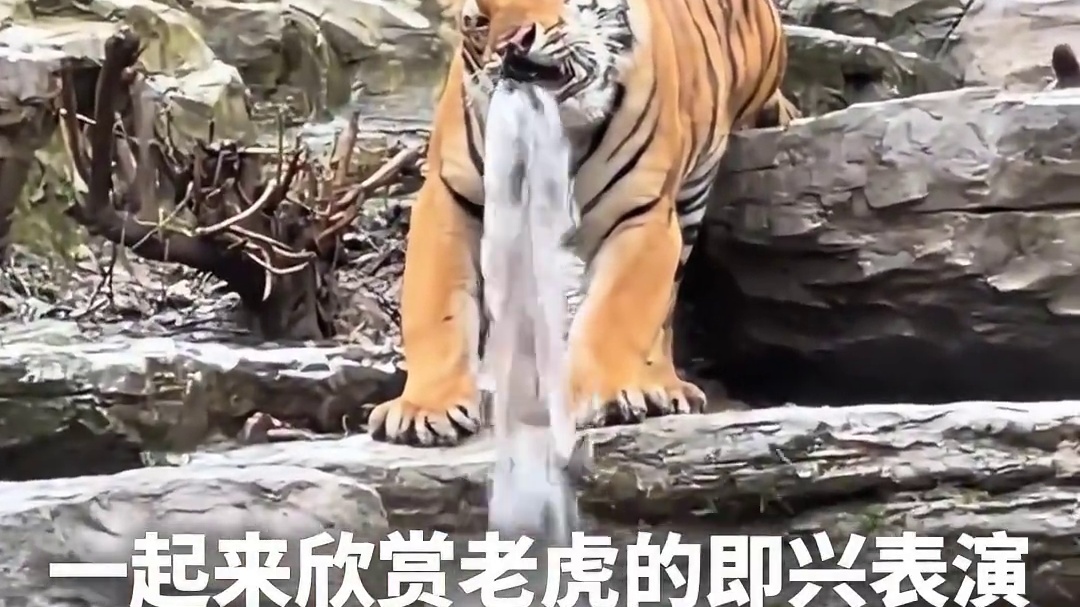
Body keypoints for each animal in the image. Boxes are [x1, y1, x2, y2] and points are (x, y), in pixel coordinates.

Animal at [367, 0, 800, 446]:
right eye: (481, 21)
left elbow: (615, 311)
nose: (512, 46)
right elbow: (436, 312)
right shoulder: (451, 201)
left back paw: (662, 385)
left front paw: (603, 398)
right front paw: (424, 409)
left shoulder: (640, 215)